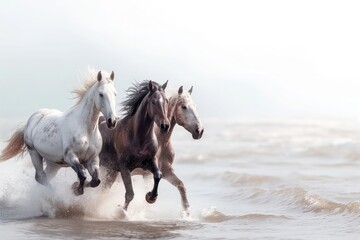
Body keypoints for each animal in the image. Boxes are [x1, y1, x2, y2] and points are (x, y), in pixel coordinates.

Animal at [97, 80, 169, 210]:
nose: (165, 126)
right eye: (153, 101)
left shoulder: (150, 161)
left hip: (111, 171)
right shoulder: (124, 167)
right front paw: (122, 211)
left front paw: (151, 197)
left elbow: (158, 175)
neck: (138, 137)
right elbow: (130, 193)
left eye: (166, 101)